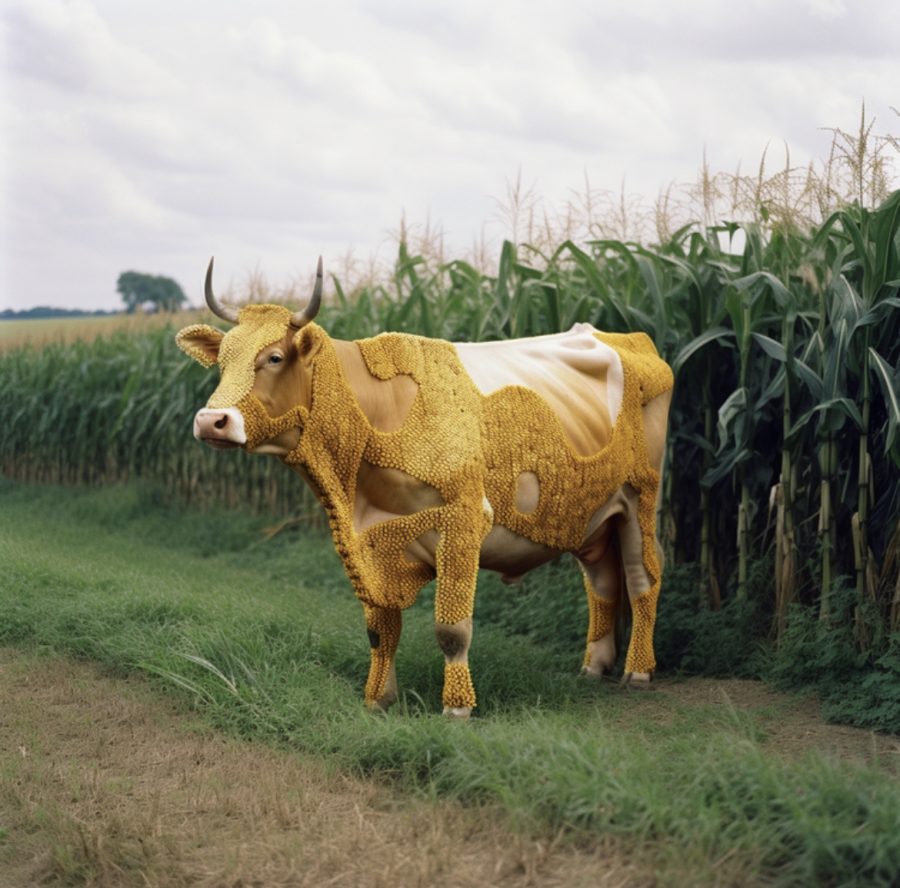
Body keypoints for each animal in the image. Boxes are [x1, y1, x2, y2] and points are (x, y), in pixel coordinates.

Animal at [176, 255, 672, 716]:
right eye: (222, 362)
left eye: (274, 358)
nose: (211, 421)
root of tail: (626, 338)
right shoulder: (369, 541)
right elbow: (380, 629)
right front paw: (377, 699)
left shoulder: (464, 520)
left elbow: (451, 629)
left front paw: (457, 707)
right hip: (592, 510)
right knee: (602, 580)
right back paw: (593, 667)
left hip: (641, 498)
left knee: (643, 577)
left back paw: (638, 671)